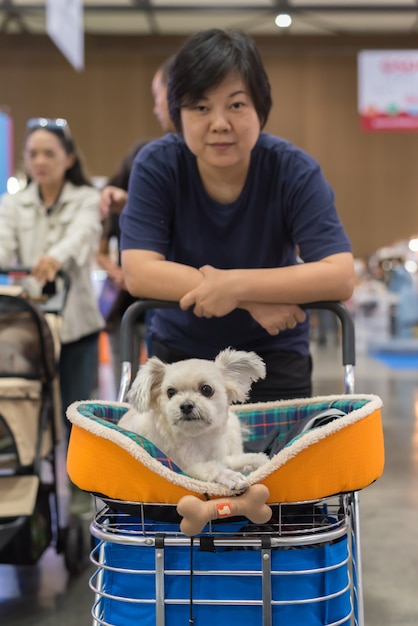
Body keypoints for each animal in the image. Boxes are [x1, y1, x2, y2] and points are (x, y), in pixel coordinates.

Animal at [118, 348, 268, 490]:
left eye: (206, 389)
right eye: (170, 392)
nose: (186, 405)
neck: (196, 439)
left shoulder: (220, 455)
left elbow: (230, 461)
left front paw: (257, 460)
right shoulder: (186, 468)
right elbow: (212, 468)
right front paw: (230, 476)